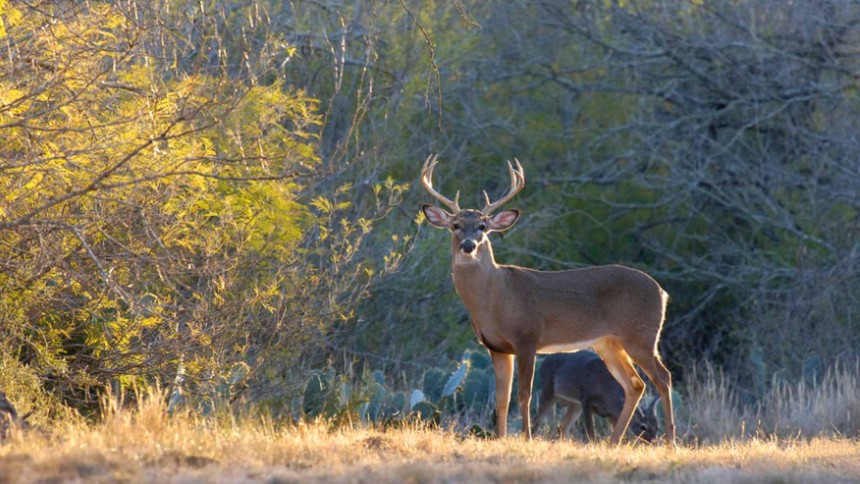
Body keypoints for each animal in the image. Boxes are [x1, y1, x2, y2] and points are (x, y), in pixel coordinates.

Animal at [419, 154, 675, 445]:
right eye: (456, 226)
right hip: (609, 343)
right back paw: (613, 443)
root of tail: (662, 292)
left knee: (663, 378)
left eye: (483, 226)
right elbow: (502, 399)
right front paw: (501, 438)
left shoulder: (527, 337)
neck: (495, 298)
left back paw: (670, 441)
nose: (469, 245)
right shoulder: (497, 347)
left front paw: (527, 438)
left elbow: (524, 394)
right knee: (636, 383)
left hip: (641, 336)